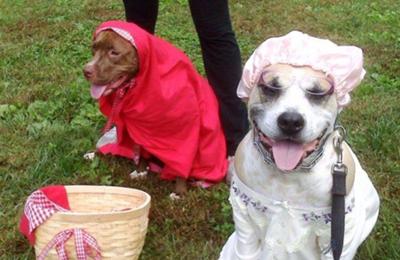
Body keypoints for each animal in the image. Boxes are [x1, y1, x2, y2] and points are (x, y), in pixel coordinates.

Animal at [84, 30, 188, 195]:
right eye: (94, 48)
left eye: (114, 52)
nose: (86, 71)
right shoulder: (138, 127)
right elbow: (141, 149)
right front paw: (140, 171)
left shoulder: (183, 132)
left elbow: (181, 161)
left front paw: (179, 192)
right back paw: (94, 153)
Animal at [220, 32, 380, 260]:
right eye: (271, 87)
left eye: (318, 93)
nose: (290, 121)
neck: (288, 176)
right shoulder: (242, 213)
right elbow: (245, 250)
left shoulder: (341, 232)